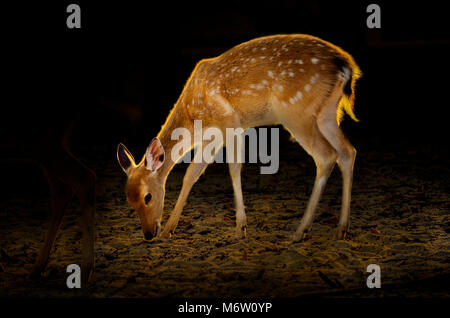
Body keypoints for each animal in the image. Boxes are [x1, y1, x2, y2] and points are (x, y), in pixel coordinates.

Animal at [117, 34, 362, 241]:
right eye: (129, 201)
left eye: (147, 197)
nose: (149, 234)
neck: (192, 117)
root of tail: (345, 66)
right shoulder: (212, 137)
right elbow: (191, 173)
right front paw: (170, 229)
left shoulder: (230, 122)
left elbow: (233, 168)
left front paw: (240, 228)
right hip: (328, 114)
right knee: (347, 151)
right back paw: (342, 229)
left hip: (296, 111)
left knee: (326, 156)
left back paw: (301, 231)